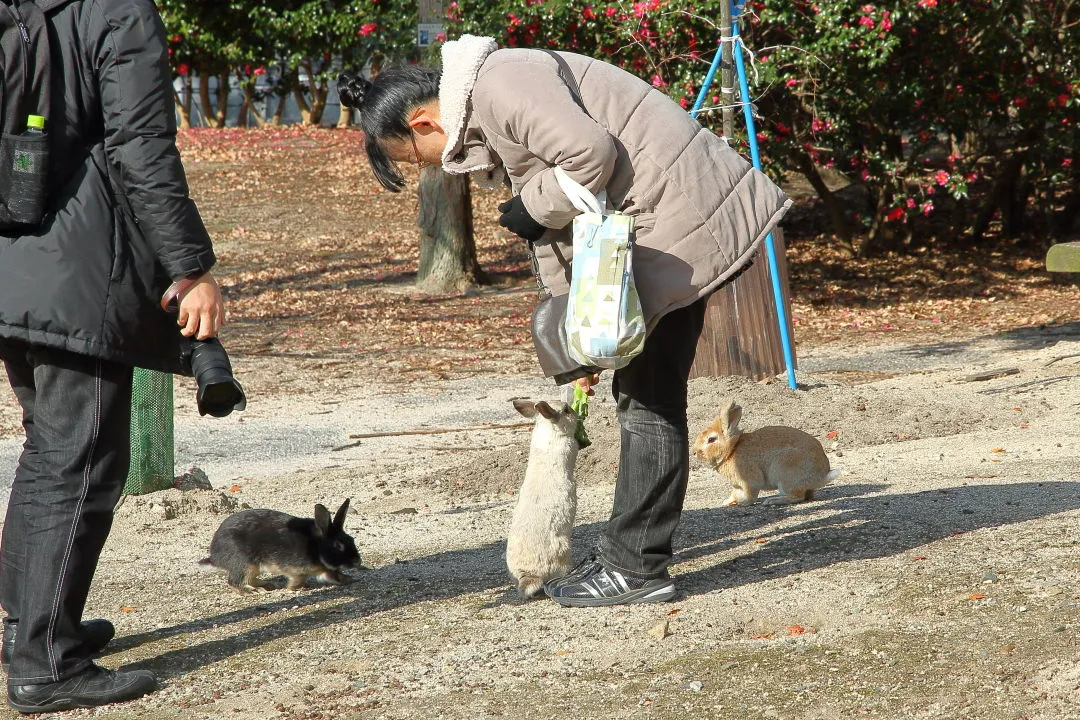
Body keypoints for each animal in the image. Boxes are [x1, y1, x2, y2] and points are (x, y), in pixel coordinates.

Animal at [198, 498, 358, 595]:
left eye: (351, 539)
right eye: (338, 545)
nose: (357, 561)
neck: (316, 547)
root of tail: (215, 557)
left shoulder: (326, 570)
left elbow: (334, 576)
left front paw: (348, 579)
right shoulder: (296, 571)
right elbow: (298, 580)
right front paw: (294, 589)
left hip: (253, 568)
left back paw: (267, 585)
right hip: (245, 563)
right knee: (234, 581)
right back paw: (253, 591)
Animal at [695, 399, 838, 507]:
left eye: (711, 439)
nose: (694, 452)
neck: (732, 450)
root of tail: (822, 476)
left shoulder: (749, 481)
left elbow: (750, 495)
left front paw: (743, 503)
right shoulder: (738, 486)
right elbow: (734, 493)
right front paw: (727, 502)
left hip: (784, 471)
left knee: (798, 496)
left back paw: (771, 501)